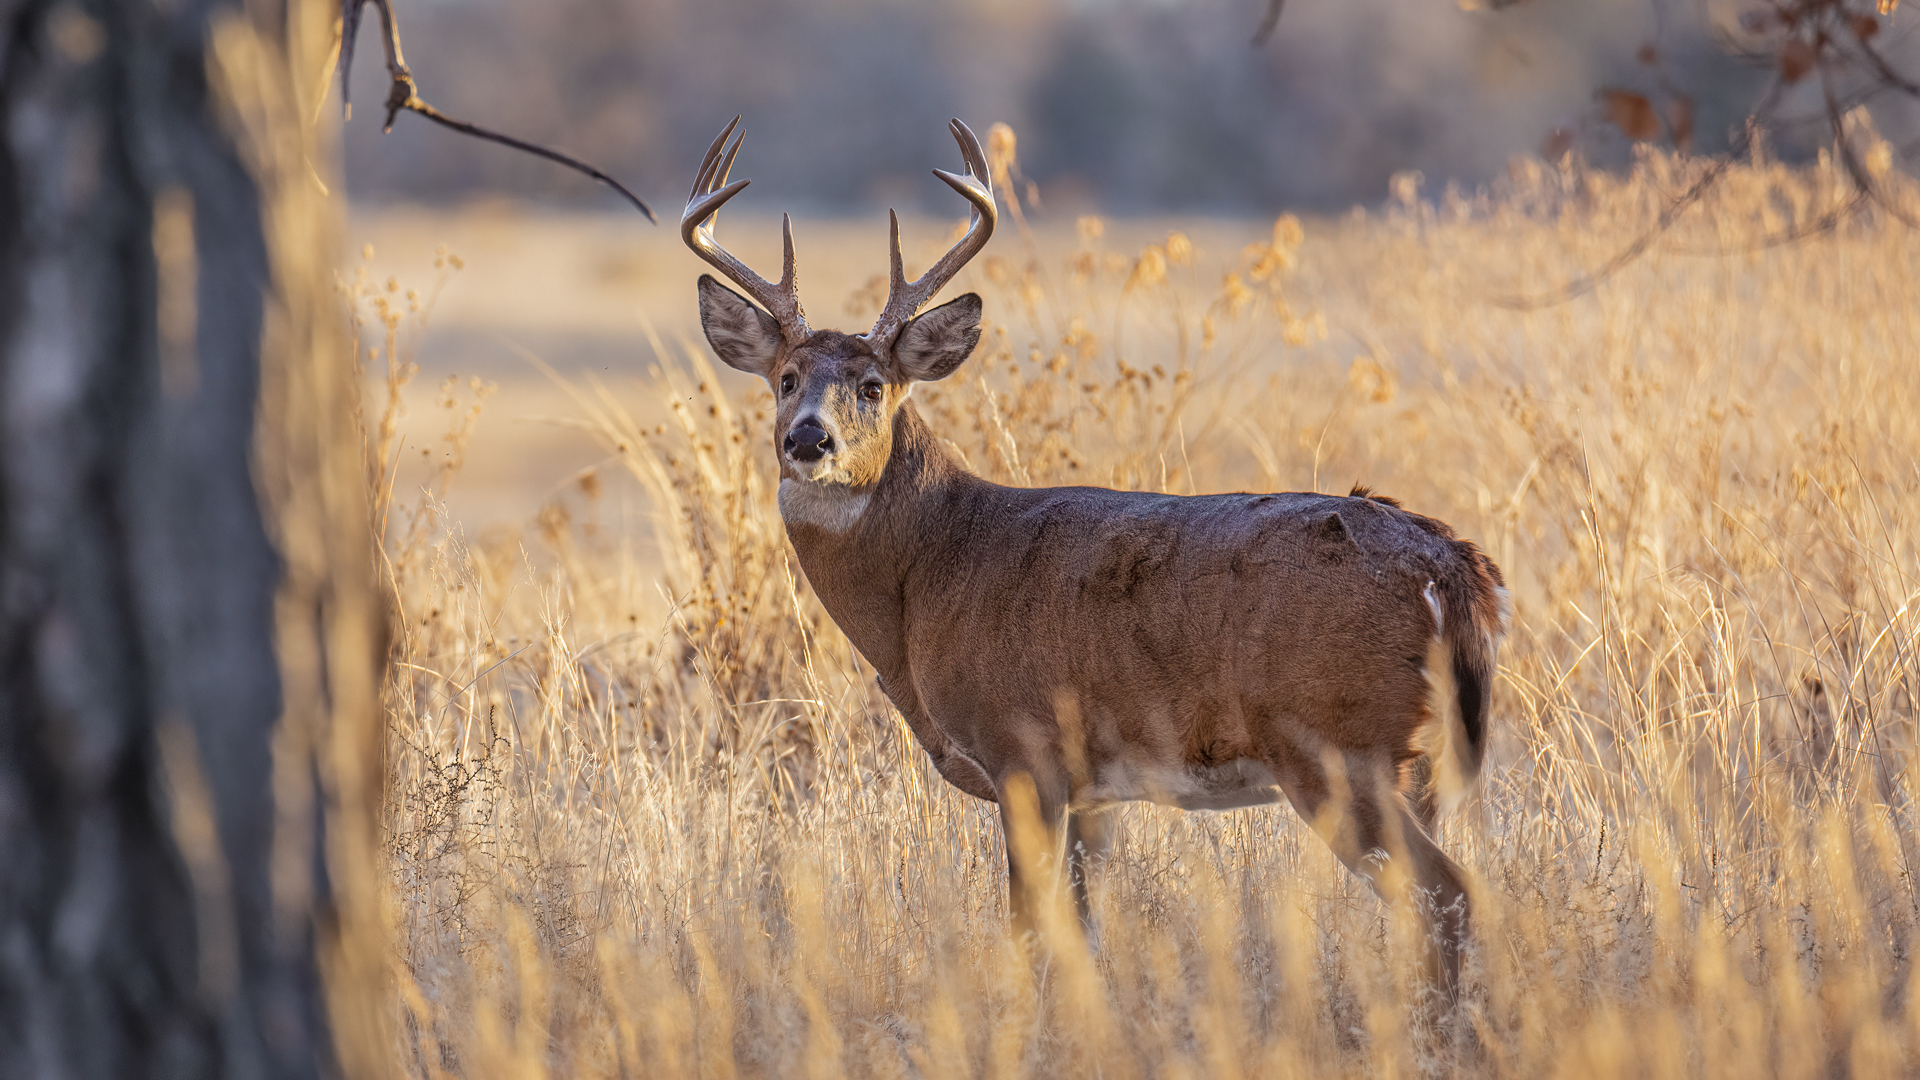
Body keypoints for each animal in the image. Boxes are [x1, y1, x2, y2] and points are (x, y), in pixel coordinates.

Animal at [681, 117, 1511, 995]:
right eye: (785, 377)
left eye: (873, 385)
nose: (809, 439)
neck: (934, 569)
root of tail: (1455, 567)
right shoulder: (1092, 796)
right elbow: (1081, 935)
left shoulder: (1023, 751)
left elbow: (1027, 931)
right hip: (1415, 764)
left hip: (1340, 746)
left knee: (1448, 891)